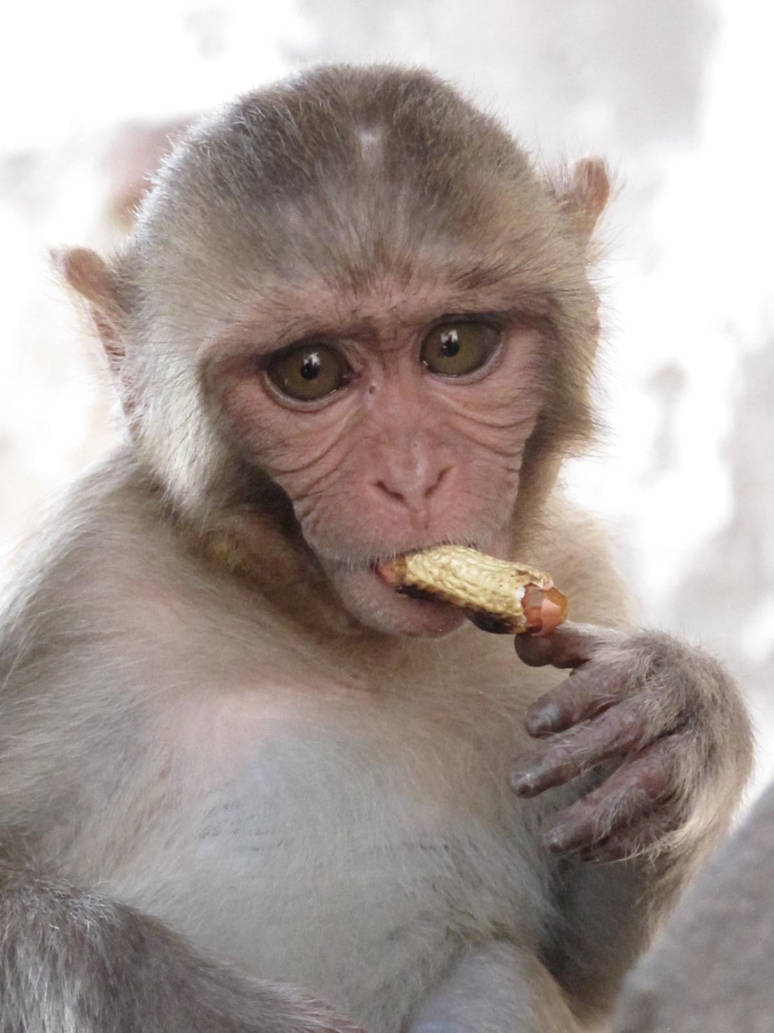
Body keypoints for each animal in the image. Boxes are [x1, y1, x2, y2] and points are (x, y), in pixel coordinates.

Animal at [0, 65, 752, 1033]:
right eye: (310, 370)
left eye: (455, 346)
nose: (413, 474)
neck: (332, 638)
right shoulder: (82, 587)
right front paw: (179, 999)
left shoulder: (575, 572)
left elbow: (591, 977)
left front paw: (683, 715)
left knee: (497, 972)